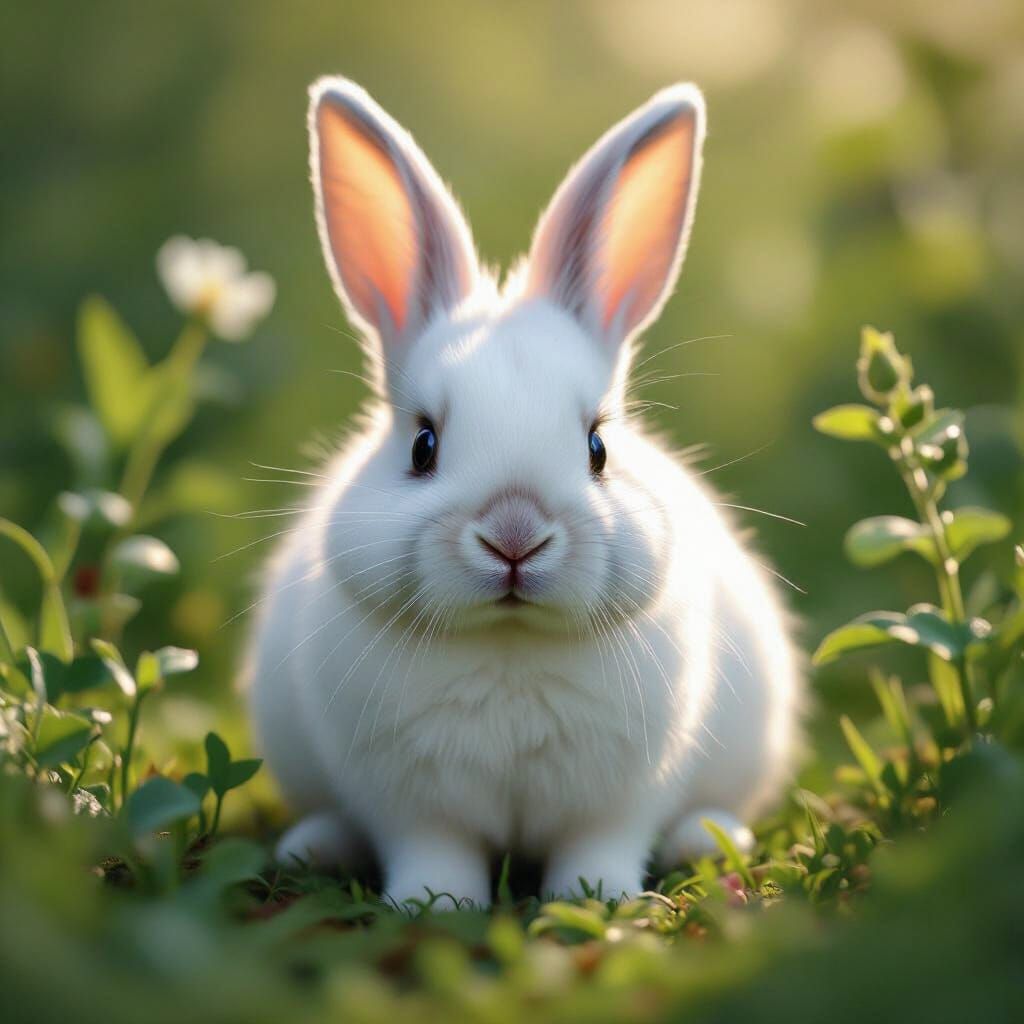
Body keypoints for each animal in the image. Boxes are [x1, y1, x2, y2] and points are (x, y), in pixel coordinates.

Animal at [245, 76, 802, 907]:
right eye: (423, 445)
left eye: (598, 447)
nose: (515, 536)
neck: (509, 645)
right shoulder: (411, 804)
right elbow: (432, 849)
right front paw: (434, 903)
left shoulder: (621, 799)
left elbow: (599, 846)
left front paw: (594, 899)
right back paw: (314, 845)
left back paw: (709, 837)